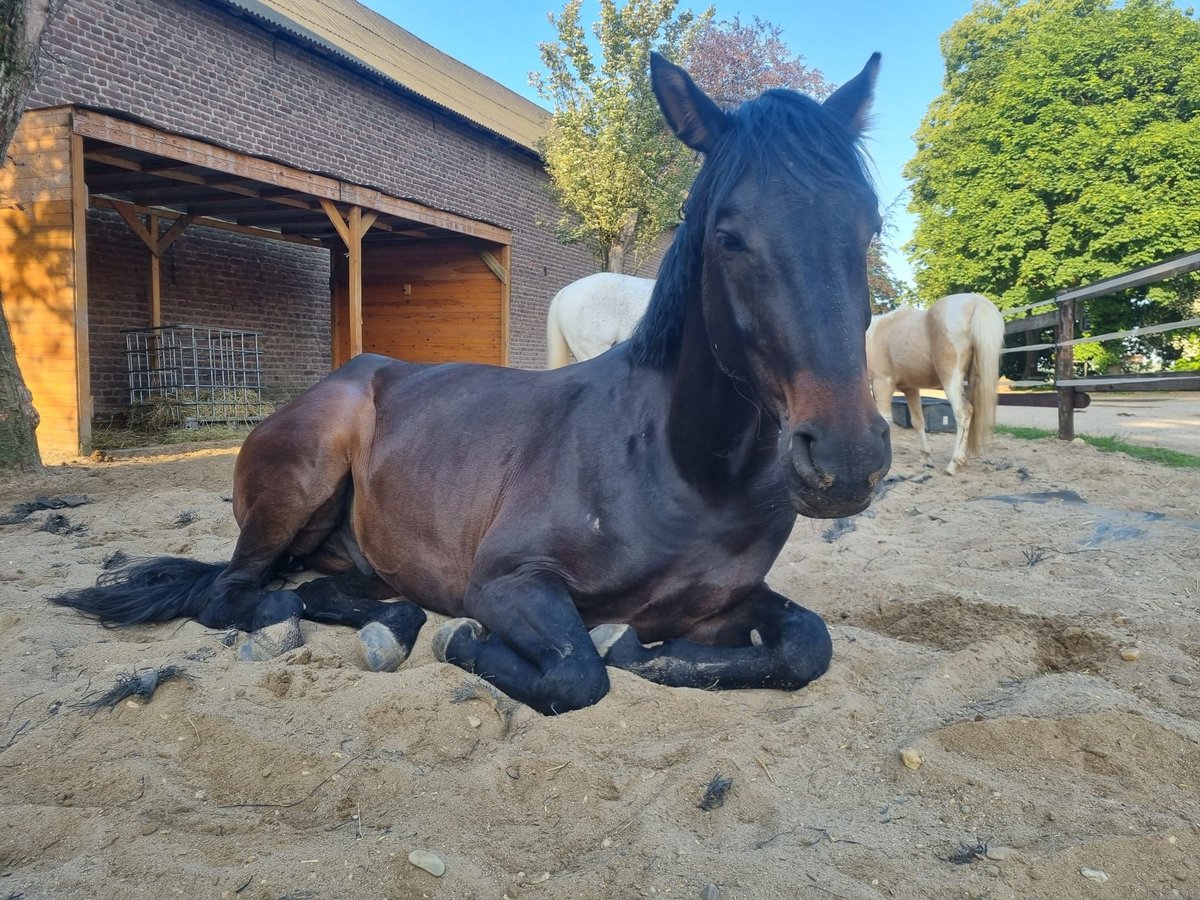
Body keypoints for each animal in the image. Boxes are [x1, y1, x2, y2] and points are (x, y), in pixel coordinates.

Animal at [51, 54, 892, 720]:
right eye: (727, 234)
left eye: (871, 226)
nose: (846, 459)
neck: (683, 470)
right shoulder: (507, 582)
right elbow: (581, 674)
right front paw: (480, 641)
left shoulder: (728, 601)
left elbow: (807, 645)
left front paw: (646, 652)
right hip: (300, 482)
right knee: (238, 593)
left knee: (325, 589)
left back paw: (387, 624)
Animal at [868, 294, 1008, 480]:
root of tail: (976, 302)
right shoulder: (911, 389)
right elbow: (918, 422)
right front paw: (926, 457)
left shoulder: (882, 383)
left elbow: (884, 421)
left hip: (950, 379)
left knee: (963, 414)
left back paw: (954, 464)